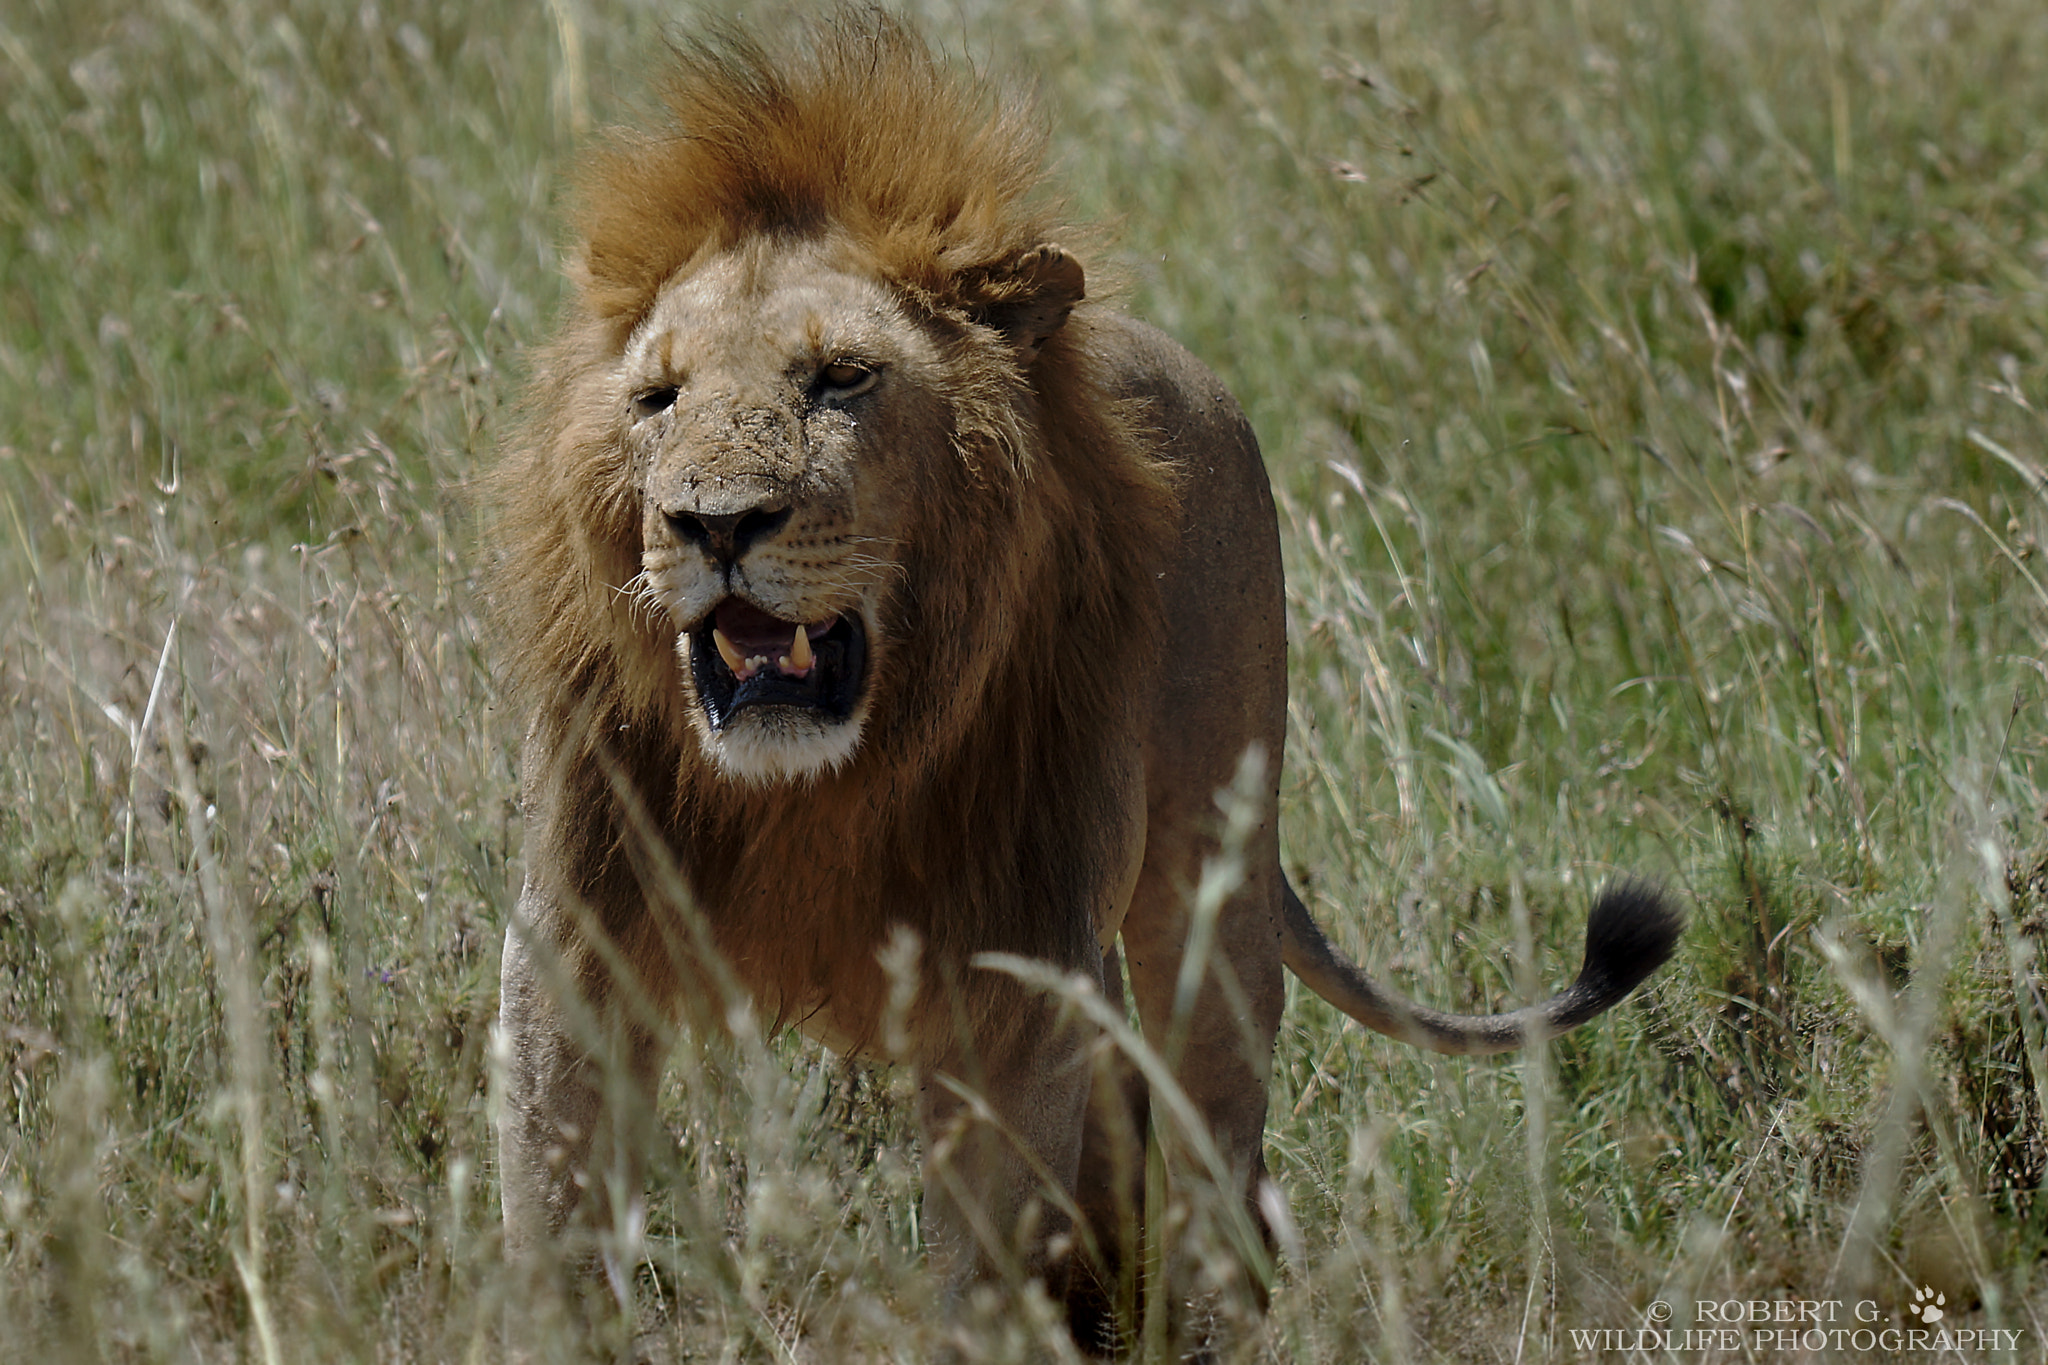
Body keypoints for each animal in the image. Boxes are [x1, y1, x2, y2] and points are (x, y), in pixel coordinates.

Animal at [487, 7, 1687, 1358]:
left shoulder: (1002, 970)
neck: (821, 780)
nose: (712, 523)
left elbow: (979, 1259)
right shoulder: (578, 941)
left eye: (841, 378)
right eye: (656, 399)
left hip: (1206, 875)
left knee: (1215, 1142)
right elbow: (555, 1208)